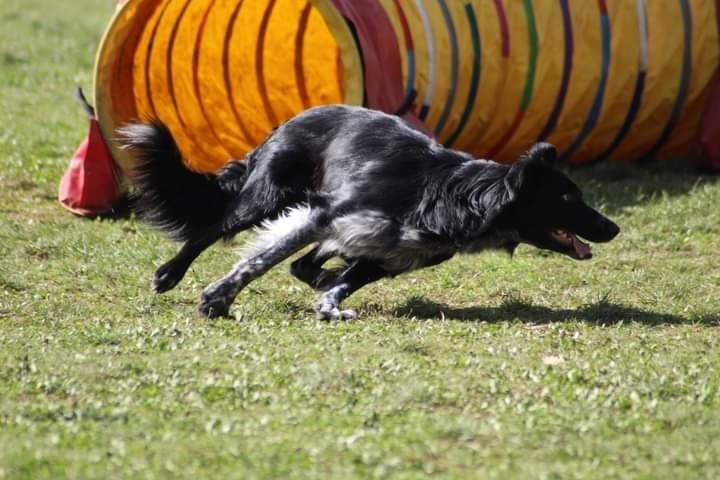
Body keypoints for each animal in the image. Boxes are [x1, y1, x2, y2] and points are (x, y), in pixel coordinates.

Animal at [118, 107, 620, 320]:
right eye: (569, 199)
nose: (614, 228)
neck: (453, 196)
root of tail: (287, 122)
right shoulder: (323, 214)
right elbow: (258, 260)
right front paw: (216, 300)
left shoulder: (392, 255)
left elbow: (339, 282)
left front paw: (329, 305)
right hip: (266, 198)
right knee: (209, 230)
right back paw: (169, 275)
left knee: (306, 265)